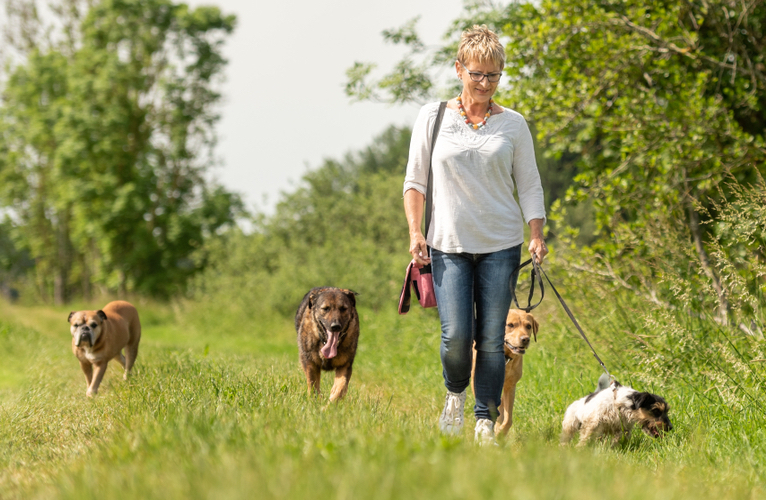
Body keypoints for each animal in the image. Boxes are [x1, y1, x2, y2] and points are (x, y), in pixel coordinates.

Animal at [474, 308, 540, 438]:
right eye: (510, 325)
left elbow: (508, 418)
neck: (506, 357)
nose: (525, 339)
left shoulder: (510, 386)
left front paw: (500, 432)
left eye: (528, 326)